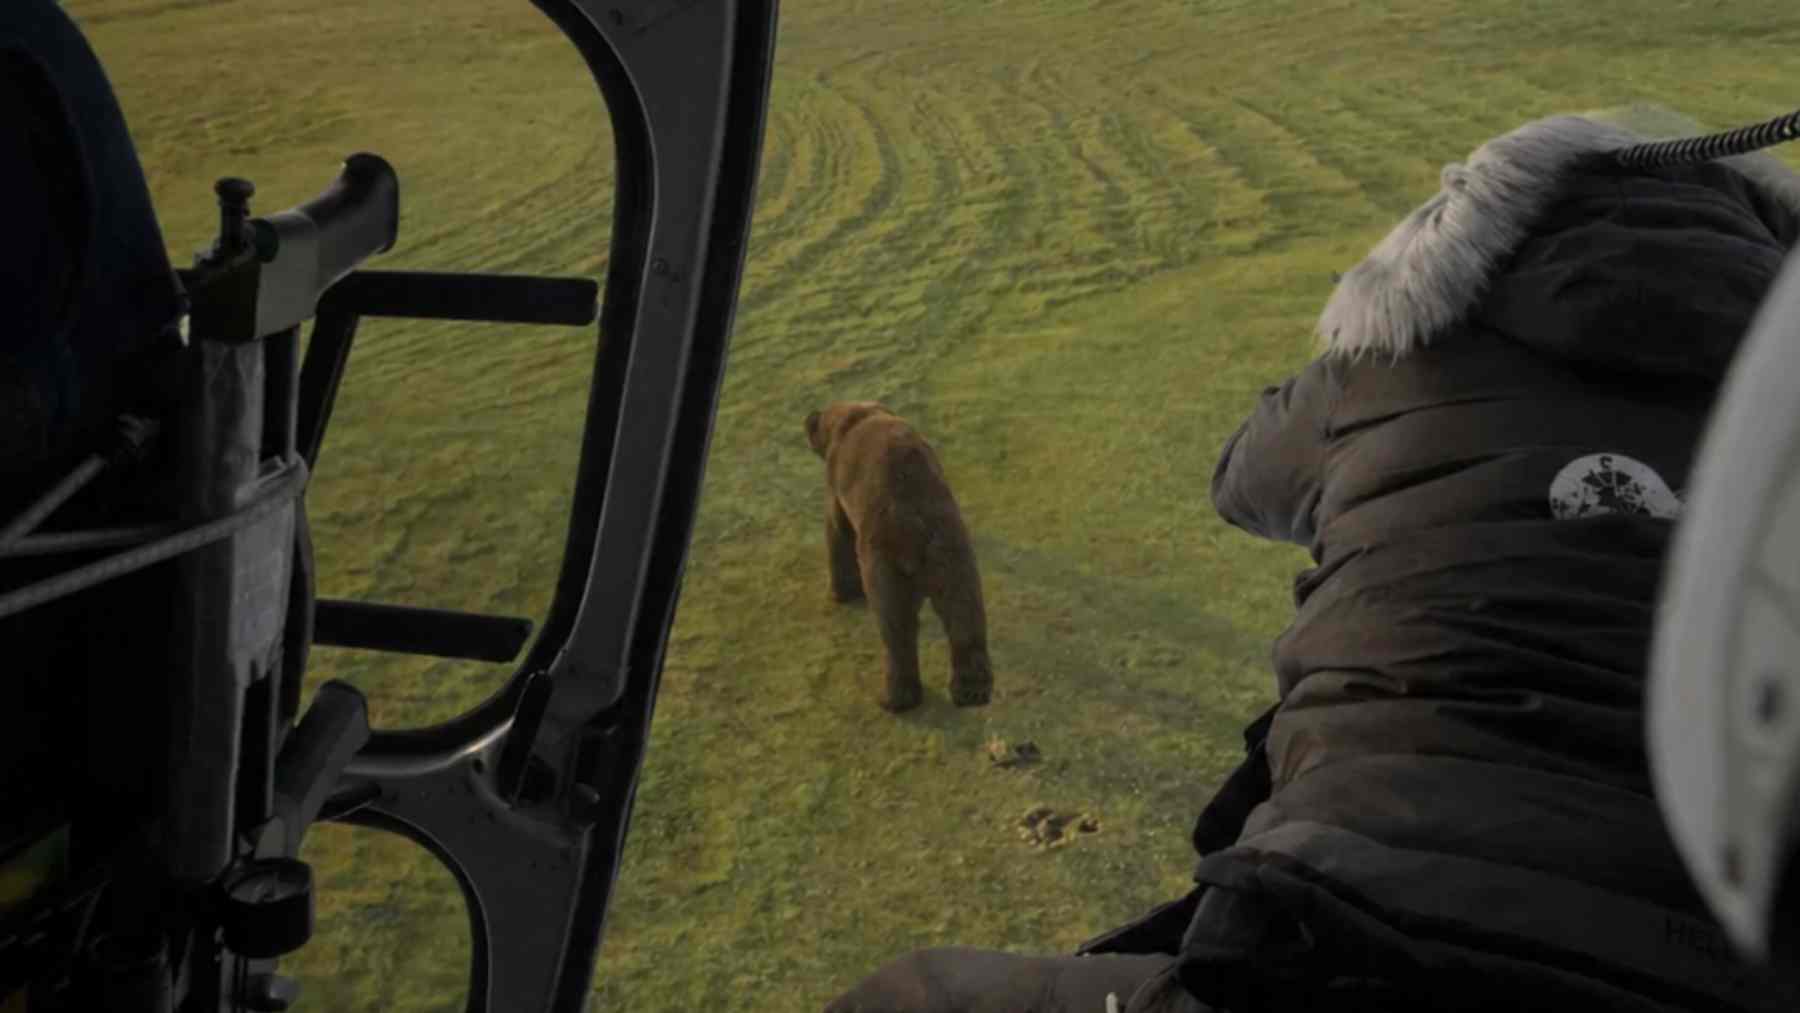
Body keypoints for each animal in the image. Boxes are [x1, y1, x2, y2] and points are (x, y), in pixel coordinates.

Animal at [804, 400, 992, 712]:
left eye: (815, 425)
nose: (808, 417)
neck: (853, 413)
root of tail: (916, 524)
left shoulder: (834, 487)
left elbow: (837, 534)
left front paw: (839, 595)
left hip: (885, 565)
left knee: (896, 630)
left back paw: (895, 701)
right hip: (954, 556)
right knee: (964, 616)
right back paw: (972, 693)